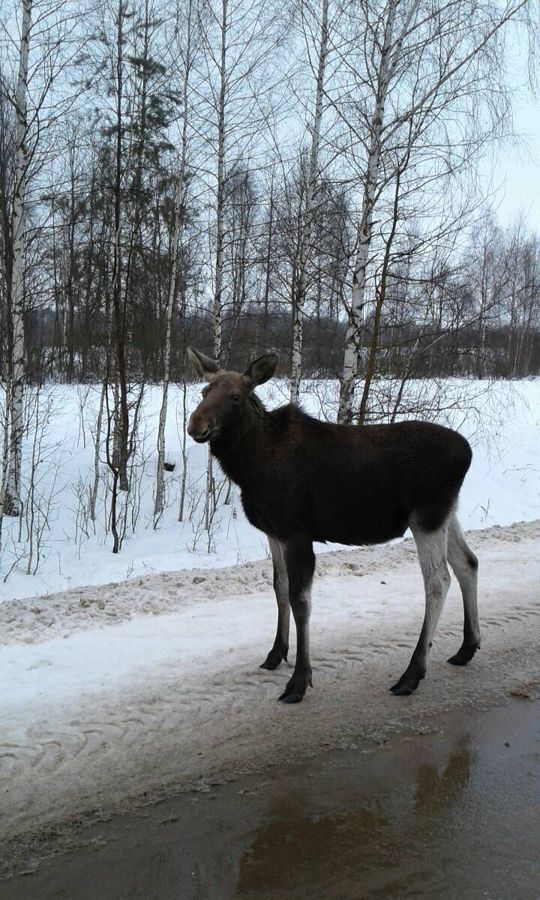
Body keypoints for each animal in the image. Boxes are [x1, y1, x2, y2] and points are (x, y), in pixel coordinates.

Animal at [188, 346, 478, 704]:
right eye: (204, 391)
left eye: (236, 397)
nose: (196, 424)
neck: (250, 468)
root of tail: (468, 453)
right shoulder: (273, 531)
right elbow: (279, 588)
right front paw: (276, 653)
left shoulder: (297, 532)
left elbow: (300, 601)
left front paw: (299, 681)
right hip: (446, 512)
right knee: (467, 563)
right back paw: (467, 647)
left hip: (426, 516)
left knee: (438, 580)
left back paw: (412, 673)